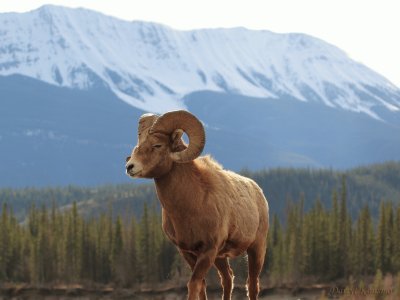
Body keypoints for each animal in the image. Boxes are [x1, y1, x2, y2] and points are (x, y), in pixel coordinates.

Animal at [125, 110, 268, 300]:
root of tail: (259, 192)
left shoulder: (208, 250)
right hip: (221, 257)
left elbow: (193, 284)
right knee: (228, 279)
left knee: (252, 285)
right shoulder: (188, 252)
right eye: (138, 145)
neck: (191, 206)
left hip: (255, 249)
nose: (130, 167)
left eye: (157, 145)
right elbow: (201, 286)